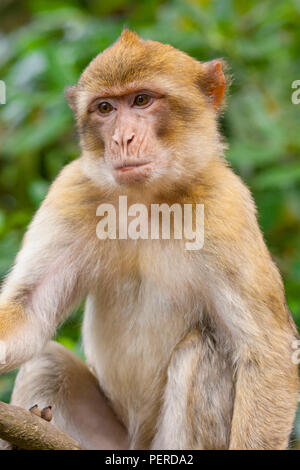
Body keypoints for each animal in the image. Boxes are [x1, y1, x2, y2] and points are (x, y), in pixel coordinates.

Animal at [0, 30, 298, 452]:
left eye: (141, 100)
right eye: (105, 108)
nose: (122, 139)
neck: (146, 200)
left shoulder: (226, 206)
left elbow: (270, 351)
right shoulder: (71, 190)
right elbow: (28, 312)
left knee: (202, 349)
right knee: (47, 361)